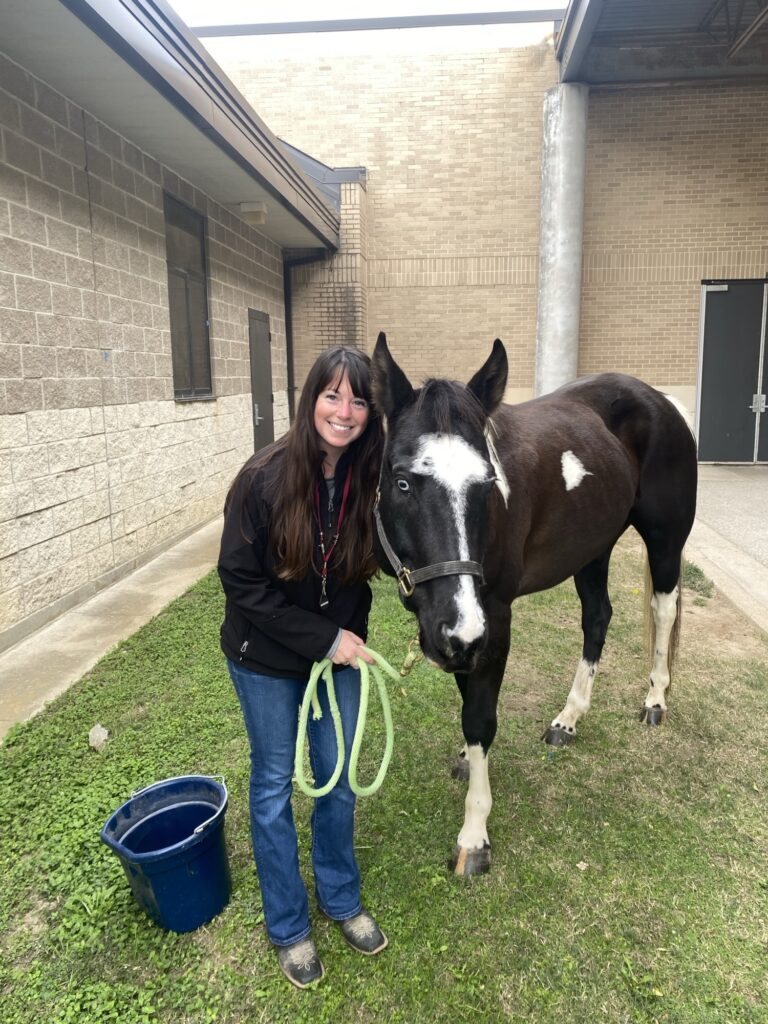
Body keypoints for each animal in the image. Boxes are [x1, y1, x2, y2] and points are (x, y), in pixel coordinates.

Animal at [370, 333, 696, 872]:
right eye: (402, 482)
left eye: (488, 483)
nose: (455, 633)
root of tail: (661, 401)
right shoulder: (465, 632)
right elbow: (469, 700)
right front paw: (468, 760)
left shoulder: (491, 620)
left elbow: (480, 718)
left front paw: (474, 835)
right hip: (592, 549)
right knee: (597, 620)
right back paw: (569, 718)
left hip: (665, 542)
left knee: (663, 612)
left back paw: (655, 699)